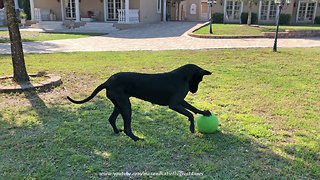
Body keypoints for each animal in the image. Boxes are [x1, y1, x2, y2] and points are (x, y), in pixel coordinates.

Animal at [67, 64, 211, 141]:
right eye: (200, 79)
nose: (194, 91)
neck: (183, 77)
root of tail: (107, 82)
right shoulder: (174, 104)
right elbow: (190, 113)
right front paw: (191, 127)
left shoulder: (180, 101)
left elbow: (194, 109)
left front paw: (205, 113)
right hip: (126, 106)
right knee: (127, 128)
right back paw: (137, 139)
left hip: (120, 104)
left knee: (111, 119)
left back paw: (117, 131)